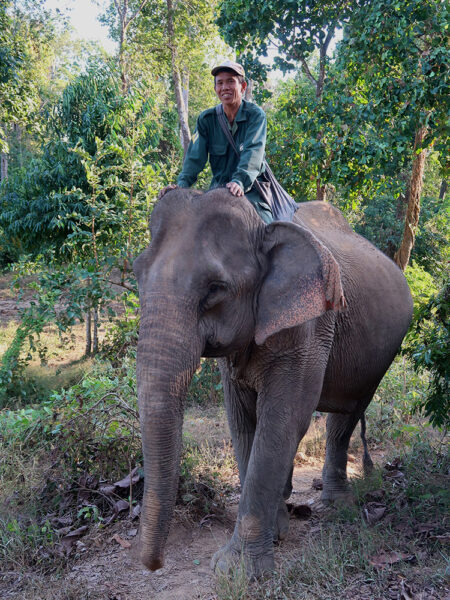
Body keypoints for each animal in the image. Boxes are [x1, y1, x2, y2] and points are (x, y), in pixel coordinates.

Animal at [132, 190, 414, 580]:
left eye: (215, 289)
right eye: (136, 275)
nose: (155, 564)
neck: (261, 228)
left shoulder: (309, 328)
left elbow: (283, 420)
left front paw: (236, 571)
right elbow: (241, 421)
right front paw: (276, 533)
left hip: (380, 357)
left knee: (347, 414)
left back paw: (337, 503)